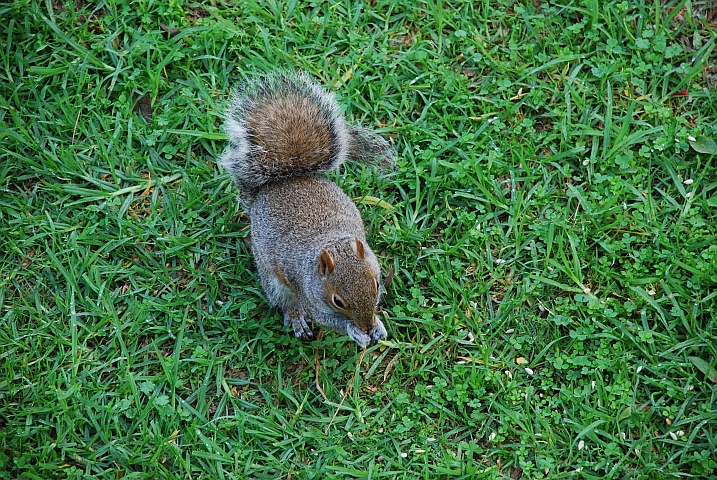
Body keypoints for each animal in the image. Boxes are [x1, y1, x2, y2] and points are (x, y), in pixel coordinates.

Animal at [219, 71, 395, 348]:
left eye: (377, 285)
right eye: (338, 301)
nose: (366, 325)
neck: (332, 242)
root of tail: (287, 180)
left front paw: (378, 326)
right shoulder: (305, 288)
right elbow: (325, 318)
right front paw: (354, 330)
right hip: (272, 279)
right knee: (284, 301)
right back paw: (296, 318)